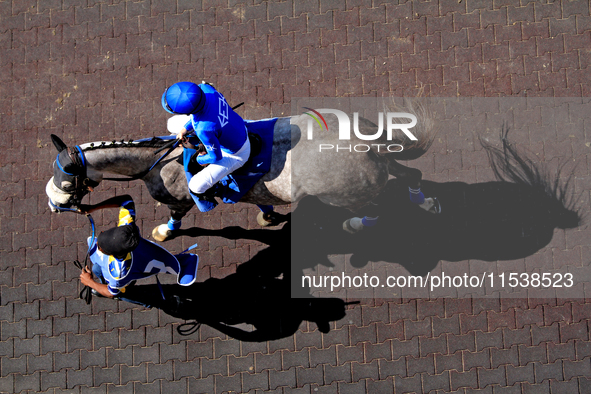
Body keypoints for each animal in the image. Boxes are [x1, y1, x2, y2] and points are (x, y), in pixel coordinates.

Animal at [47, 109, 440, 242]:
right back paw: (424, 200)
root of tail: (363, 141)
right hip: (377, 167)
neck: (160, 161)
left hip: (348, 193)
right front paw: (268, 216)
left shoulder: (181, 198)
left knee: (378, 207)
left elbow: (175, 217)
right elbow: (260, 203)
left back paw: (358, 224)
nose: (53, 205)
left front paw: (164, 232)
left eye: (66, 180)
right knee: (409, 173)